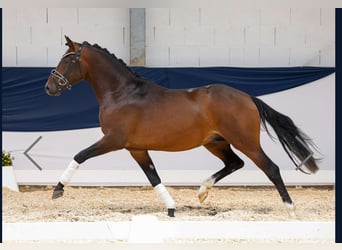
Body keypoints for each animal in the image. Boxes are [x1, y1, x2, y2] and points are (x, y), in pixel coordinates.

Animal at [44, 36, 318, 218]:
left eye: (67, 60)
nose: (49, 87)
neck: (122, 93)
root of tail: (248, 97)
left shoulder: (114, 140)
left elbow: (80, 155)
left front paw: (58, 190)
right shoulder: (136, 148)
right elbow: (153, 177)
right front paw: (171, 208)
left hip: (245, 142)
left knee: (270, 168)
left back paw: (291, 209)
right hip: (216, 142)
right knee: (234, 163)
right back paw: (202, 192)